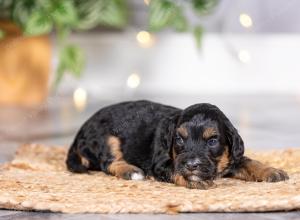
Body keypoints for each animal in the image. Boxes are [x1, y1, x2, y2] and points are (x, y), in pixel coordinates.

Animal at [66, 101, 288, 189]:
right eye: (179, 139)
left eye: (212, 141)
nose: (191, 165)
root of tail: (80, 132)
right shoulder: (160, 163)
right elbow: (174, 168)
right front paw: (193, 179)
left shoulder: (232, 157)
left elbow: (249, 162)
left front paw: (272, 171)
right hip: (107, 137)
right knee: (108, 162)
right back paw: (132, 171)